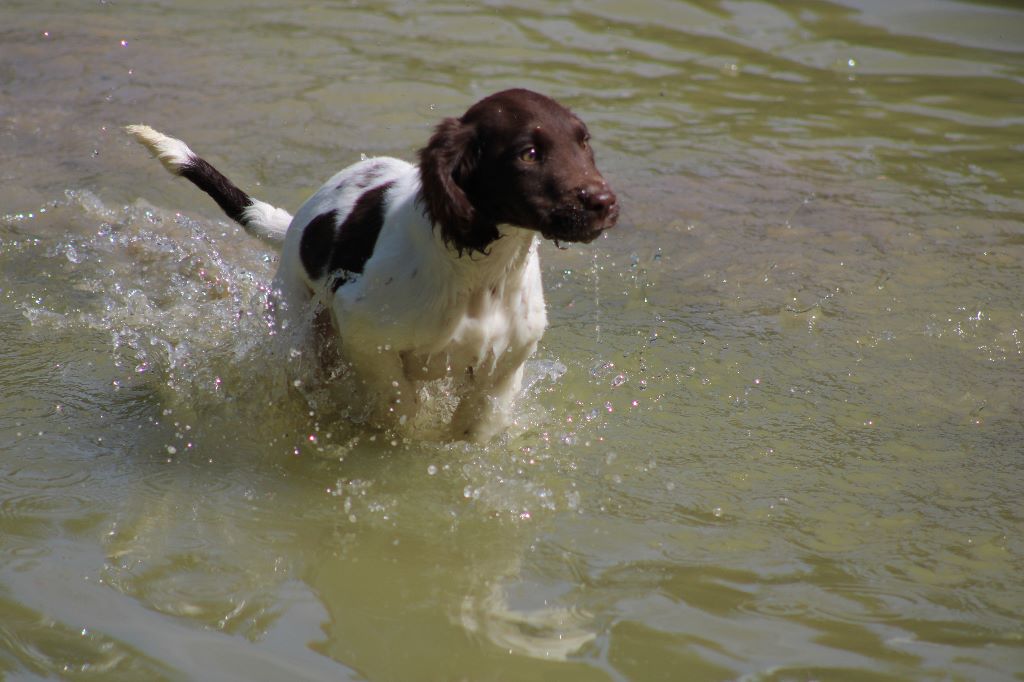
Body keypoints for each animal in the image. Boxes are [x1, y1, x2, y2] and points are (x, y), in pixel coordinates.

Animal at [126, 87, 614, 440]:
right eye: (528, 153)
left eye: (584, 142)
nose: (604, 203)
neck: (479, 275)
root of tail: (294, 223)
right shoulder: (363, 329)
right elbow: (399, 403)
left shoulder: (506, 362)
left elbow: (477, 424)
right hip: (300, 330)